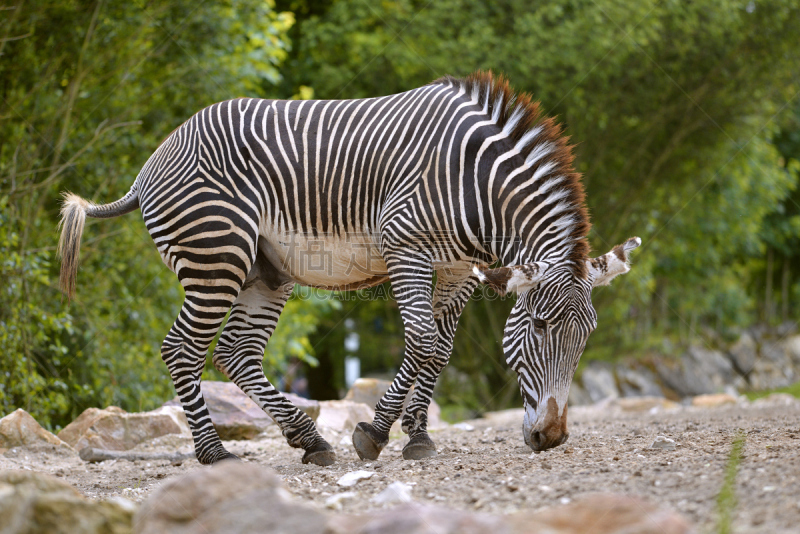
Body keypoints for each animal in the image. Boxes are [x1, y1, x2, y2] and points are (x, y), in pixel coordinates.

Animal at [57, 72, 636, 468]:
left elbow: (439, 352)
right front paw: (375, 434)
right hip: (216, 257)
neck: (474, 182)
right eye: (538, 327)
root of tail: (157, 156)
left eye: (587, 337)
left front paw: (418, 436)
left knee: (236, 353)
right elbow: (421, 342)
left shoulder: (455, 269)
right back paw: (214, 453)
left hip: (264, 272)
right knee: (182, 348)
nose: (551, 439)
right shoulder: (407, 249)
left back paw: (309, 440)